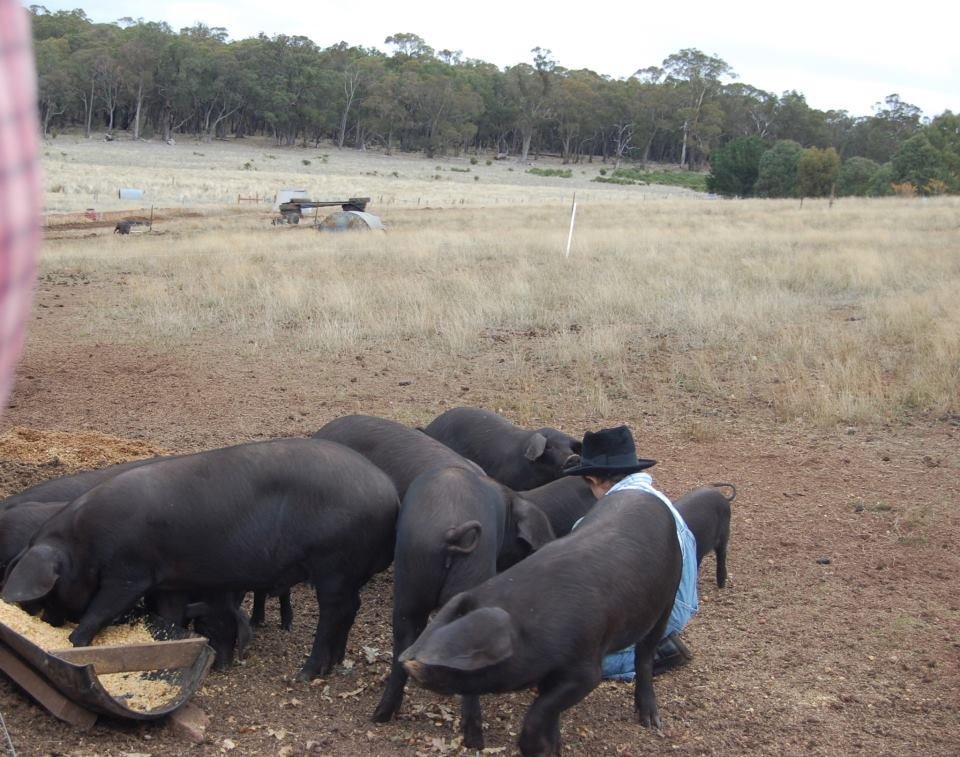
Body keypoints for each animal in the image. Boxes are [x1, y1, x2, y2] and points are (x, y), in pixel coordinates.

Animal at [1, 438, 400, 680]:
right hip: (346, 572)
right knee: (350, 609)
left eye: (51, 589)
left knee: (334, 612)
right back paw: (334, 663)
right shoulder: (169, 582)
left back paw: (306, 673)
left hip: (334, 563)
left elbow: (100, 610)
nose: (48, 622)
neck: (83, 543)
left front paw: (74, 643)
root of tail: (390, 495)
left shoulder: (129, 573)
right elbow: (168, 618)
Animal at [376, 464, 556, 748]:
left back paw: (381, 715)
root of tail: (452, 532)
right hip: (472, 570)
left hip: (409, 578)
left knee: (402, 644)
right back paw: (475, 741)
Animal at [402, 490, 680, 756]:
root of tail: (651, 498)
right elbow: (549, 704)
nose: (409, 663)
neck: (530, 626)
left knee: (645, 655)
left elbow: (545, 706)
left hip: (668, 597)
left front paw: (535, 749)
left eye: (462, 657)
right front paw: (554, 748)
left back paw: (651, 722)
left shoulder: (586, 668)